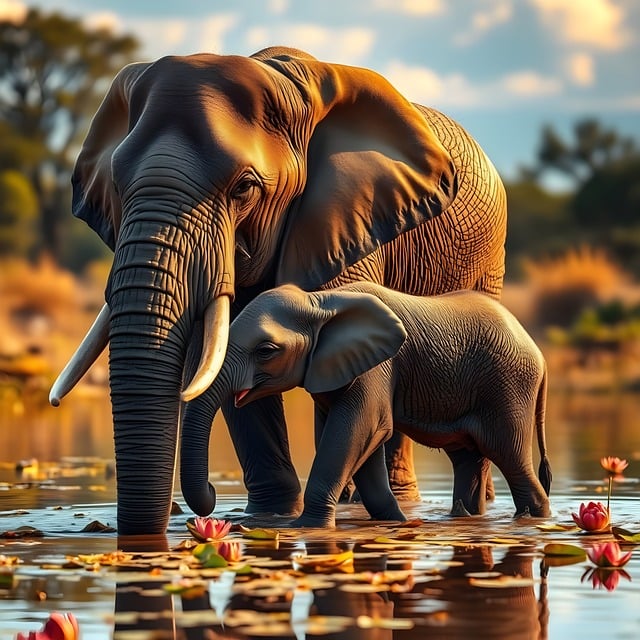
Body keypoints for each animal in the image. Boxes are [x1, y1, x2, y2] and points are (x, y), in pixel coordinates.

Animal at [48, 46, 507, 534]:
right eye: (116, 186)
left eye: (244, 188)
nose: (206, 501)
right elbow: (230, 357)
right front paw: (267, 516)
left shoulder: (345, 220)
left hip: (488, 259)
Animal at [180, 282, 552, 528]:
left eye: (266, 351)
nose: (213, 493)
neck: (319, 302)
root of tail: (539, 353)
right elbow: (363, 441)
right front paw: (394, 522)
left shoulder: (377, 367)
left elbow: (356, 431)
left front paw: (304, 528)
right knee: (468, 459)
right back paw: (463, 516)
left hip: (508, 387)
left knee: (510, 457)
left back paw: (536, 518)